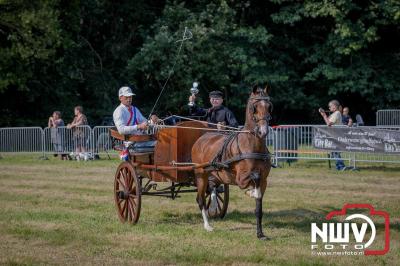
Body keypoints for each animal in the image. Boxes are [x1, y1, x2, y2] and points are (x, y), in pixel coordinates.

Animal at [191, 85, 272, 239]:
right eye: (254, 107)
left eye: (269, 106)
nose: (263, 131)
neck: (253, 146)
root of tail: (202, 137)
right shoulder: (241, 178)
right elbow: (252, 180)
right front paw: (250, 192)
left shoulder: (264, 180)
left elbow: (259, 208)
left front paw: (260, 234)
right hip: (200, 174)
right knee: (200, 199)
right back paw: (207, 225)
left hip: (214, 173)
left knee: (212, 187)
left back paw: (214, 205)